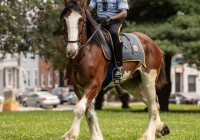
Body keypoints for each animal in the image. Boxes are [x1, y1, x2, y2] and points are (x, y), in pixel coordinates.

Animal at [61, 0, 170, 139]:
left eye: (81, 20)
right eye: (65, 19)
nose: (71, 50)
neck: (85, 53)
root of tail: (153, 44)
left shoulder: (94, 85)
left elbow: (79, 109)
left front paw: (71, 135)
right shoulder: (78, 87)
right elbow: (89, 112)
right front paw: (95, 136)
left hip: (149, 80)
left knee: (153, 106)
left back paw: (148, 135)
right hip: (130, 84)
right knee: (153, 103)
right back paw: (160, 128)